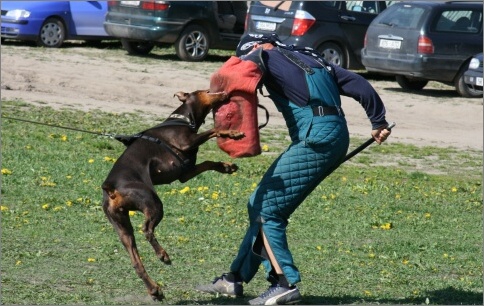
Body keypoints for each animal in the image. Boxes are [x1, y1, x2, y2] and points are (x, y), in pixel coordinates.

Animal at [103, 89, 246, 300]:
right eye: (207, 91)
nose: (225, 92)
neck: (183, 120)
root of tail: (111, 187)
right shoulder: (186, 142)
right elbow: (213, 130)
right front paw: (233, 133)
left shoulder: (185, 173)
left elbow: (207, 163)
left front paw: (226, 167)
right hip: (152, 201)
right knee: (146, 229)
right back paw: (163, 255)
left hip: (121, 225)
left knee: (136, 260)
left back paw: (155, 289)